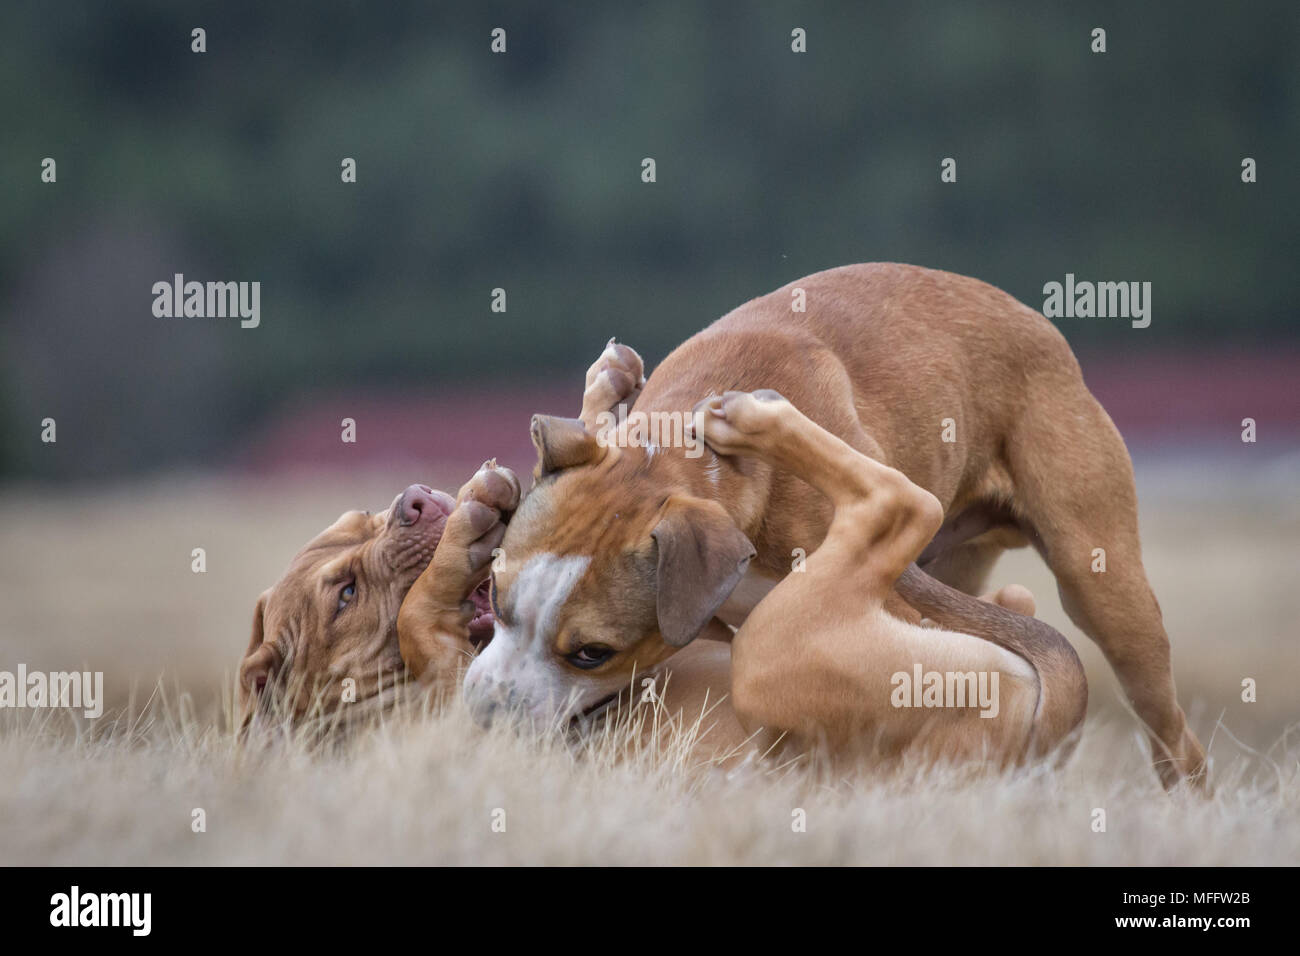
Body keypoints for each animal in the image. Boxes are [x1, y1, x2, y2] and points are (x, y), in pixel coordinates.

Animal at [439, 260, 1206, 785]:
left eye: (592, 654)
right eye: (496, 599)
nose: (484, 712)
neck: (695, 467)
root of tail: (1033, 319)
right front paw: (607, 385)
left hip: (1101, 583)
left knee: (1175, 736)